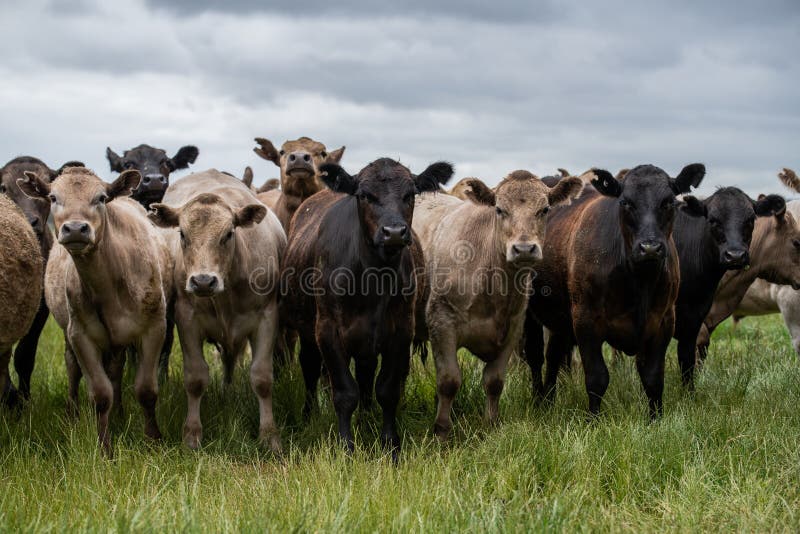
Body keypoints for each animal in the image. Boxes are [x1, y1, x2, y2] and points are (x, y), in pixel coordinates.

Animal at [19, 165, 172, 454]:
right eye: (53, 197)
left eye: (101, 198)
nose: (75, 229)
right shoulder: (81, 334)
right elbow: (100, 394)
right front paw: (105, 449)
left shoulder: (154, 328)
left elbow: (146, 390)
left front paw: (154, 440)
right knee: (74, 368)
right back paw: (74, 413)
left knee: (116, 370)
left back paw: (120, 413)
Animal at [148, 170, 286, 454]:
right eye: (182, 234)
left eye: (229, 233)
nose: (203, 281)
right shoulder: (187, 319)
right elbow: (195, 378)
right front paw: (192, 434)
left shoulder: (267, 318)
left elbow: (262, 378)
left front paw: (269, 435)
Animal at [282, 156, 454, 460]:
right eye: (364, 195)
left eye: (410, 194)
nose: (394, 232)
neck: (373, 279)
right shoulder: (327, 331)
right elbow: (344, 392)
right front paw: (346, 447)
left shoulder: (401, 332)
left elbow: (387, 389)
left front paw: (390, 444)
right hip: (307, 330)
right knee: (310, 368)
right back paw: (310, 414)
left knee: (365, 375)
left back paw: (366, 416)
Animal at [412, 171, 580, 440]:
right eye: (500, 210)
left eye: (544, 209)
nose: (524, 248)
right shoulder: (441, 323)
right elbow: (449, 381)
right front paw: (442, 431)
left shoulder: (513, 328)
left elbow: (494, 382)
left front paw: (491, 424)